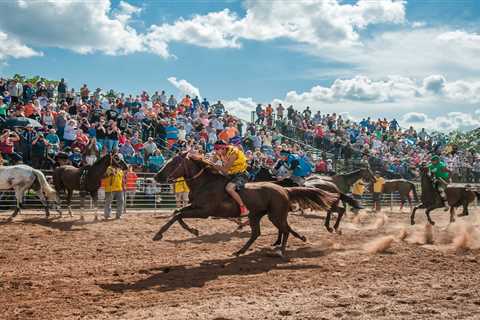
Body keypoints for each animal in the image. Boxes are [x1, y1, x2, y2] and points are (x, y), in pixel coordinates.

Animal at [153, 152, 338, 258]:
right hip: (257, 215)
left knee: (284, 229)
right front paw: (190, 230)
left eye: (173, 163)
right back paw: (240, 251)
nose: (156, 176)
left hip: (275, 215)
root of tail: (284, 190)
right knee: (258, 233)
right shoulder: (194, 206)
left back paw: (282, 250)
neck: (205, 183)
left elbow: (179, 214)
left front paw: (159, 234)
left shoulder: (204, 211)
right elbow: (177, 212)